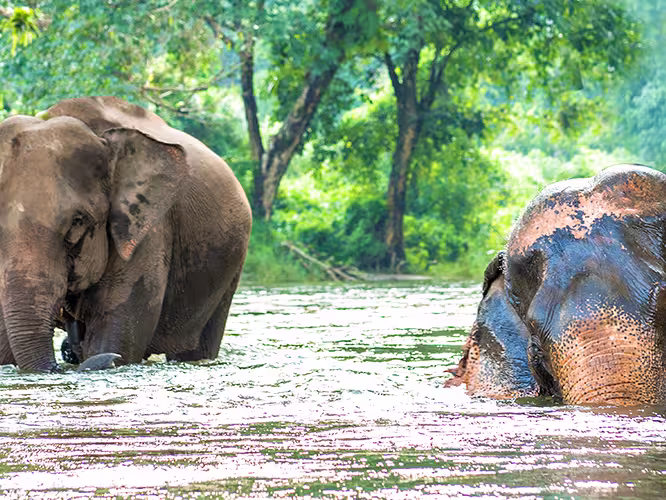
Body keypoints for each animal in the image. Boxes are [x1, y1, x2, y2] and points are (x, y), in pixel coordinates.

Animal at [0, 96, 252, 372]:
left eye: (77, 222)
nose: (67, 353)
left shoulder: (148, 231)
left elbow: (113, 333)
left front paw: (110, 353)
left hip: (228, 272)